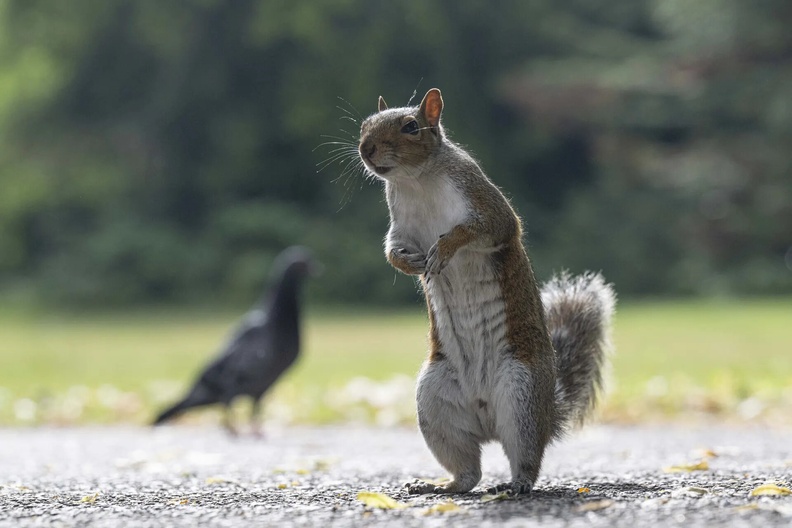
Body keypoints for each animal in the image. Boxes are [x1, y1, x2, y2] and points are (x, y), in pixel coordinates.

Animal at [357, 88, 616, 496]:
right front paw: (410, 264)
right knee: (468, 472)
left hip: (521, 393)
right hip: (434, 404)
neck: (417, 181)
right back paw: (440, 486)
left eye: (411, 126)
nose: (366, 148)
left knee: (525, 455)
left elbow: (485, 228)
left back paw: (517, 485)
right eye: (364, 124)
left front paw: (445, 249)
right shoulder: (400, 227)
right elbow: (392, 249)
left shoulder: (484, 203)